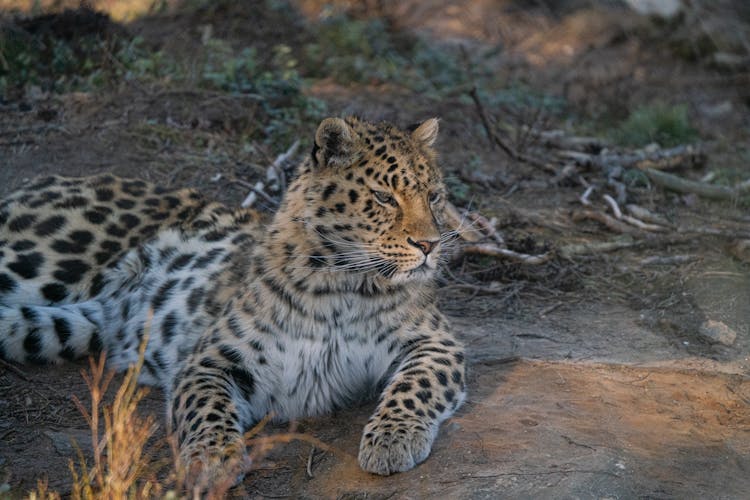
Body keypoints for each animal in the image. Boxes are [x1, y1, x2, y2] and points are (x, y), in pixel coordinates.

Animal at [0, 115, 468, 490]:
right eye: (384, 198)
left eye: (434, 197)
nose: (429, 245)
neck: (344, 282)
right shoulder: (210, 360)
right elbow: (207, 408)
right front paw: (212, 461)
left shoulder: (435, 342)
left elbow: (415, 386)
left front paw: (392, 438)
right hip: (39, 262)